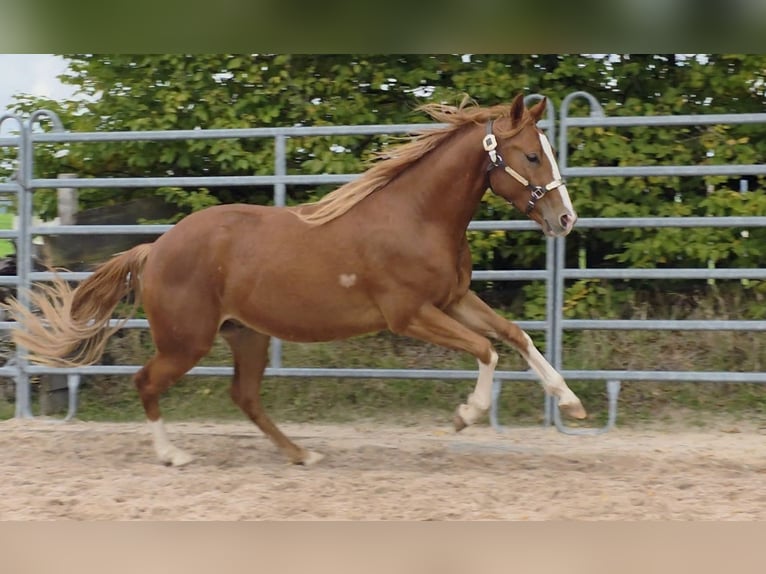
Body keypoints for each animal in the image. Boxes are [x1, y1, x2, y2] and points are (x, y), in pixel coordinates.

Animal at [4, 93, 586, 467]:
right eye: (530, 155)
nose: (565, 219)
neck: (416, 215)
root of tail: (156, 248)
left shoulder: (453, 298)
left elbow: (513, 335)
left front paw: (571, 403)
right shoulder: (410, 315)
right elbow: (485, 349)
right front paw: (467, 415)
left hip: (247, 335)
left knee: (245, 396)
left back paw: (301, 453)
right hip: (186, 341)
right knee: (147, 382)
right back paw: (174, 455)